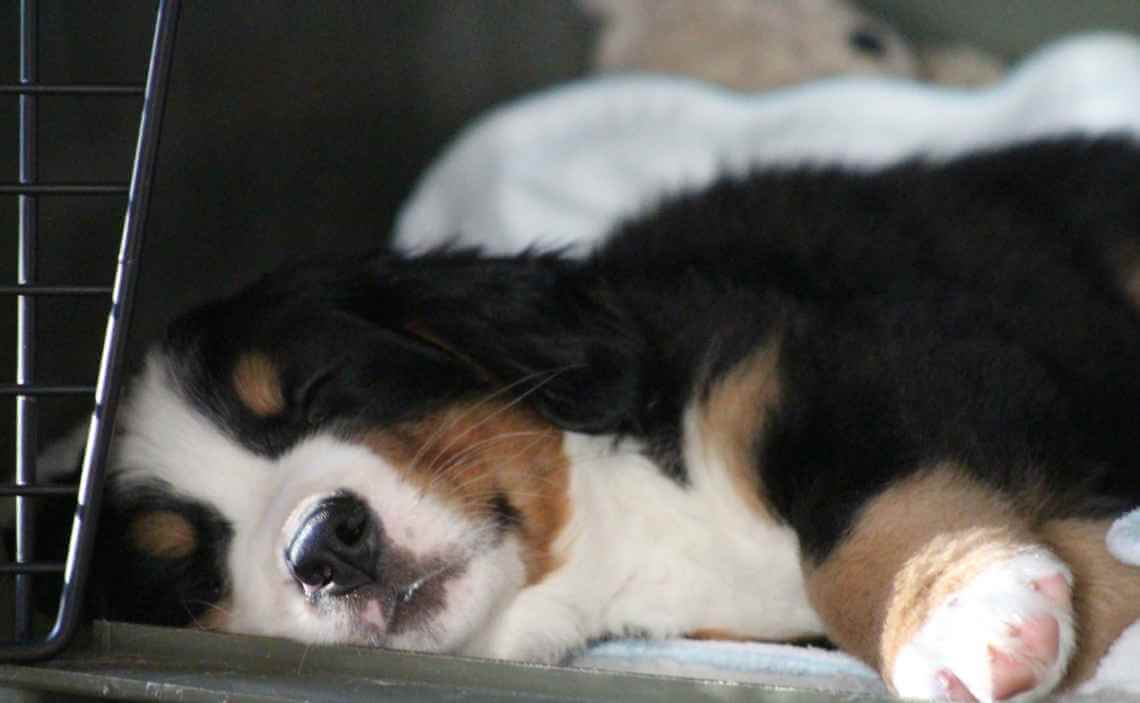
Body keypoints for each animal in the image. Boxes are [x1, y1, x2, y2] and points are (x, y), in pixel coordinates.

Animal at [40, 134, 1140, 697]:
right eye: (191, 568)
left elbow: (871, 518)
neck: (622, 531)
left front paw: (961, 612)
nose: (326, 545)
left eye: (315, 389)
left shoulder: (867, 350)